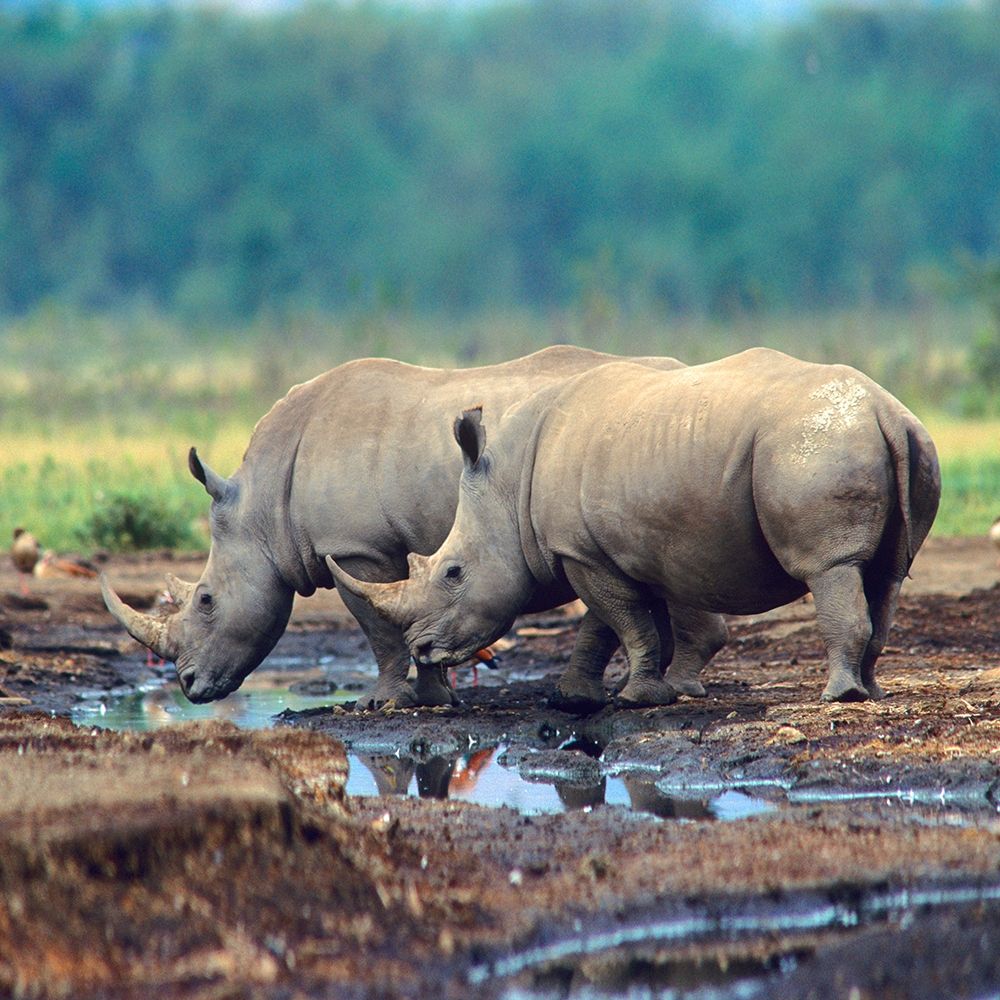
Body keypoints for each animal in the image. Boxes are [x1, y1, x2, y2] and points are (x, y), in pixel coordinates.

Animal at [101, 345, 690, 709]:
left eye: (205, 601)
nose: (188, 685)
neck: (263, 508)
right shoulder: (396, 560)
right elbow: (412, 615)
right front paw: (434, 699)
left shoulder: (357, 548)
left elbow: (379, 629)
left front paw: (381, 701)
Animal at [327, 348, 941, 707]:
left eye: (453, 572)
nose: (423, 649)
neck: (509, 486)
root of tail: (884, 410)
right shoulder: (600, 548)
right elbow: (614, 623)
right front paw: (588, 697)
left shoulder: (580, 552)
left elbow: (623, 620)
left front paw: (633, 699)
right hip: (908, 442)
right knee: (887, 573)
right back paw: (871, 689)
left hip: (812, 446)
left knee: (831, 567)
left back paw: (840, 697)